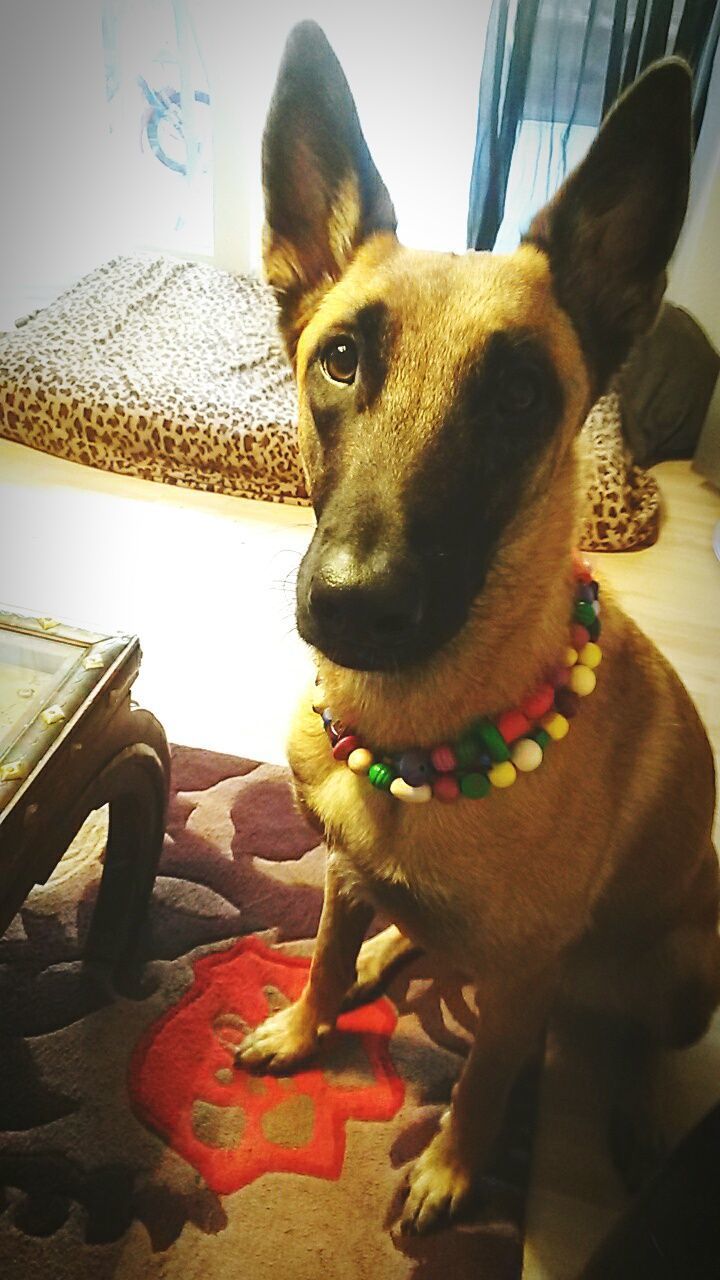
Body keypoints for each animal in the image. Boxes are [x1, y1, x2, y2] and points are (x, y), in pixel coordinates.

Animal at [238, 20, 717, 1233]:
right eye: (342, 359)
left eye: (515, 397)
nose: (354, 602)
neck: (419, 734)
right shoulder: (340, 868)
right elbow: (322, 955)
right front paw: (310, 1024)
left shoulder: (525, 981)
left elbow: (493, 1075)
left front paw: (453, 1167)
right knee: (405, 934)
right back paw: (387, 955)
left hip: (687, 969)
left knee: (643, 1045)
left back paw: (639, 1114)